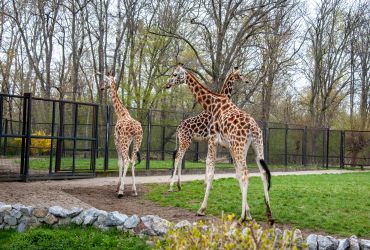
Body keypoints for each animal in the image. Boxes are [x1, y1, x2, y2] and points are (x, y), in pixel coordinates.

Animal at [166, 63, 274, 224]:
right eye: (240, 74)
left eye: (174, 74)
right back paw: (269, 215)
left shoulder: (213, 140)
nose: (167, 84)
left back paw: (242, 218)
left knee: (246, 174)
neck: (213, 103)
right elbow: (235, 174)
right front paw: (248, 212)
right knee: (262, 173)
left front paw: (202, 209)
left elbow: (211, 170)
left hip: (238, 146)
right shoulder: (227, 146)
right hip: (257, 146)